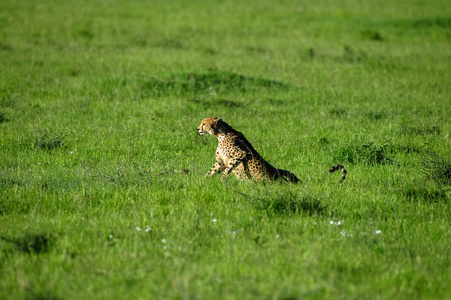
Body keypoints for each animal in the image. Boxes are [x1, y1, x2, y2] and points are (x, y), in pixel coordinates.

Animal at [196, 116, 348, 183]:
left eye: (204, 123)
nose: (197, 129)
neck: (221, 134)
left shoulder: (241, 154)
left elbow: (228, 169)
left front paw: (223, 181)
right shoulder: (220, 162)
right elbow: (211, 172)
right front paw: (202, 181)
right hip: (285, 172)